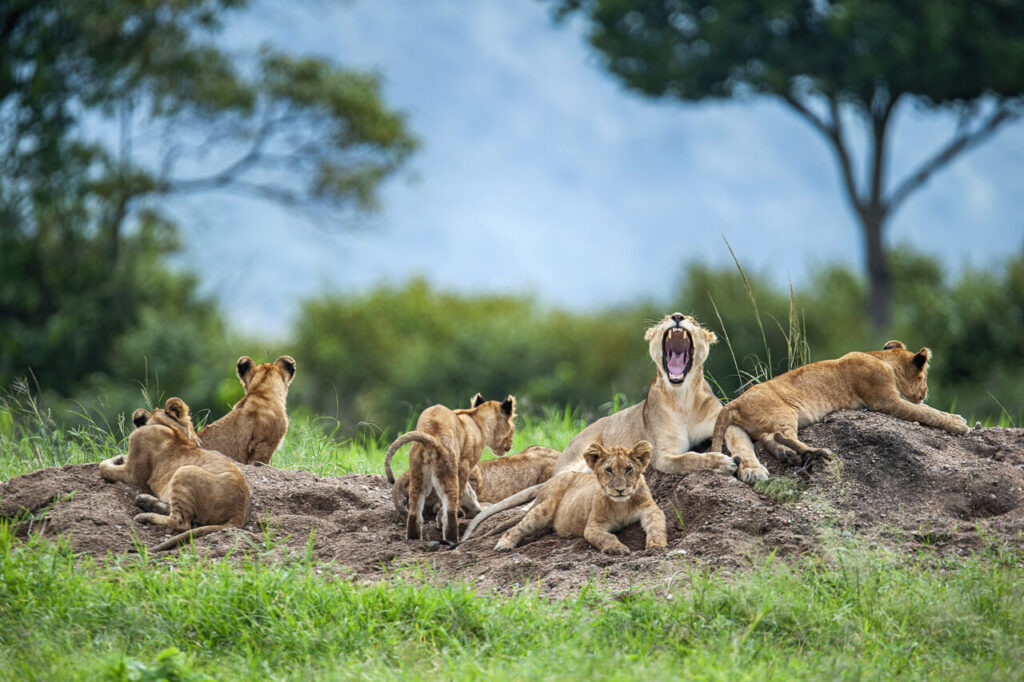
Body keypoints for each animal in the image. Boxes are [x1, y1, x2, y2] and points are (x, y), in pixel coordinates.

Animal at [99, 397, 252, 552]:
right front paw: (120, 457)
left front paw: (117, 458)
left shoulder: (133, 473)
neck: (171, 427)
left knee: (181, 523)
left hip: (185, 471)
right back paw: (145, 501)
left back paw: (144, 516)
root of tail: (239, 512)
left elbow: (103, 467)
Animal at [384, 393, 516, 544]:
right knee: (449, 511)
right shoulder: (465, 465)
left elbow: (467, 491)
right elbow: (463, 491)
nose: (510, 445)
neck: (478, 421)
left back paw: (414, 539)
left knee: (414, 512)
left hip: (418, 477)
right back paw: (452, 539)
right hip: (447, 473)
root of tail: (432, 437)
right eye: (512, 428)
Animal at [462, 313, 766, 541]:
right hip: (578, 461)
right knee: (547, 487)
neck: (683, 397)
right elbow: (691, 458)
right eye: (665, 319)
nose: (678, 317)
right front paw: (721, 461)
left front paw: (753, 469)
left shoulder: (724, 421)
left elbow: (741, 442)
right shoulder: (663, 455)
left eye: (691, 319)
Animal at [493, 441, 666, 555]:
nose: (620, 490)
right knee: (517, 527)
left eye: (629, 469)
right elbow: (607, 537)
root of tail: (549, 481)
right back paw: (503, 544)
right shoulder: (593, 526)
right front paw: (616, 548)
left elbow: (657, 527)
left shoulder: (651, 510)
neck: (621, 504)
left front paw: (657, 546)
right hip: (544, 509)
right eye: (609, 470)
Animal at [711, 340, 970, 464]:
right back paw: (817, 451)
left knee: (769, 437)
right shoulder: (885, 402)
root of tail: (733, 403)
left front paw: (956, 417)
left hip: (765, 423)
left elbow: (928, 409)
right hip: (784, 412)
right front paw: (959, 425)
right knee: (781, 435)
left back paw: (788, 455)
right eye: (924, 376)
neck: (883, 360)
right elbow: (925, 413)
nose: (925, 391)